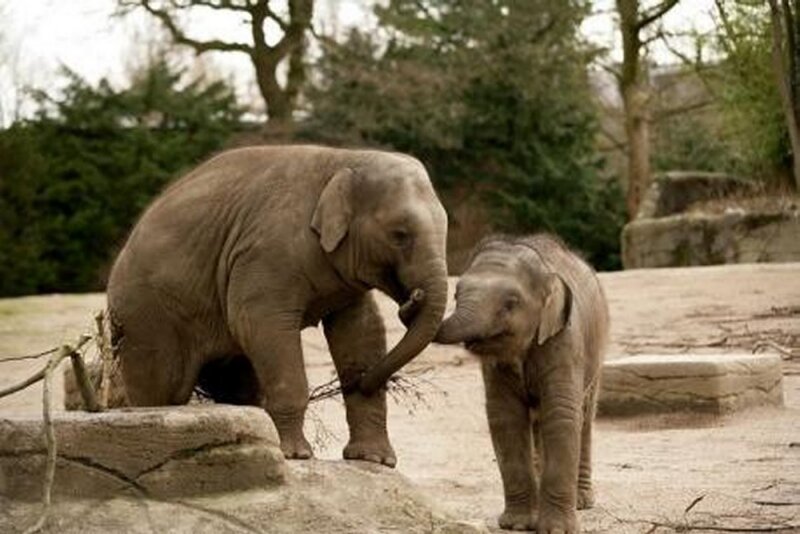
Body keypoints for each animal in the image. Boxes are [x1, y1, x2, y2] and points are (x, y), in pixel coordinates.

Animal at [106, 145, 449, 467]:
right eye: (400, 235)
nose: (413, 298)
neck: (345, 159)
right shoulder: (266, 253)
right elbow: (259, 323)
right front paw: (296, 455)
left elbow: (361, 329)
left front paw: (373, 460)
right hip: (146, 317)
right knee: (163, 386)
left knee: (235, 382)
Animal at [433, 234, 609, 533]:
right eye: (455, 295)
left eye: (511, 302)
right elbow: (506, 418)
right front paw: (516, 525)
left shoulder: (564, 339)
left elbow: (561, 415)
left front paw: (556, 529)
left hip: (596, 350)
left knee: (584, 417)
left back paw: (582, 501)